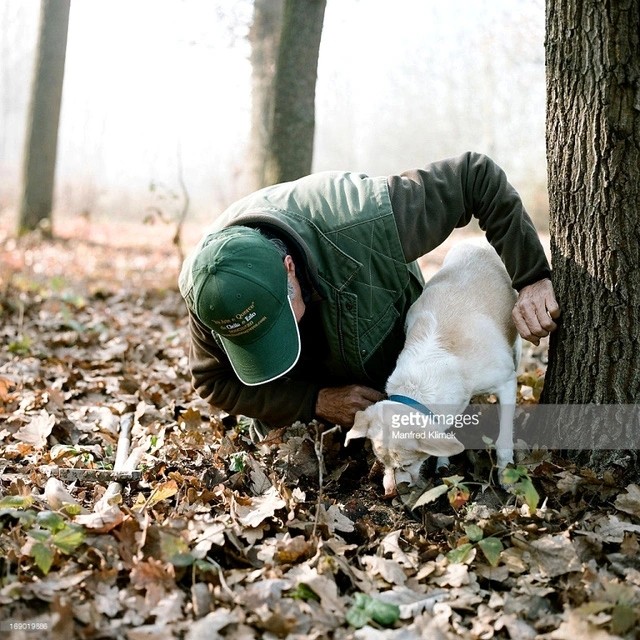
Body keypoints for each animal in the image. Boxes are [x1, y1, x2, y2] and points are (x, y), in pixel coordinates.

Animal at [344, 240, 520, 496]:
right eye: (382, 462)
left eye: (406, 465)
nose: (390, 493)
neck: (421, 379)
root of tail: (477, 241)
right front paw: (443, 463)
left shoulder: (507, 383)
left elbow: (504, 438)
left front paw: (506, 473)